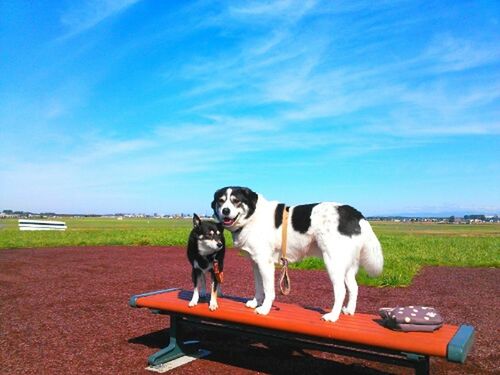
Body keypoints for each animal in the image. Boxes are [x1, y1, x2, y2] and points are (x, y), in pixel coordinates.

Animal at [211, 188, 382, 324]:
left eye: (236, 201)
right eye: (221, 201)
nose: (225, 211)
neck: (252, 218)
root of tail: (356, 213)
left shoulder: (265, 263)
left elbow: (268, 290)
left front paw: (264, 309)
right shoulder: (256, 263)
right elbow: (259, 287)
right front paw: (255, 302)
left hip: (332, 262)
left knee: (340, 290)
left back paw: (333, 316)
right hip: (346, 266)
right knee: (354, 287)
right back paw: (349, 311)